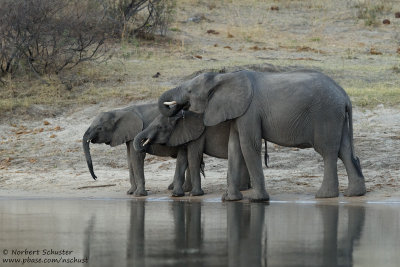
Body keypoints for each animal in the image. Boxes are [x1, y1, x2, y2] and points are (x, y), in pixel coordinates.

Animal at [134, 111, 264, 197]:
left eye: (160, 127)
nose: (143, 146)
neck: (182, 116)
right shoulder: (184, 134)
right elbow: (182, 159)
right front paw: (177, 195)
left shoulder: (198, 135)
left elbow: (193, 157)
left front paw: (195, 194)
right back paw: (244, 188)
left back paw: (242, 189)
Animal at [158, 69, 368, 201]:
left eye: (190, 91)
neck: (223, 77)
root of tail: (345, 96)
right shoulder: (238, 113)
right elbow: (234, 147)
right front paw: (229, 199)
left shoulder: (250, 112)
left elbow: (248, 145)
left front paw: (257, 200)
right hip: (336, 117)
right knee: (345, 151)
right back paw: (354, 194)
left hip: (326, 114)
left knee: (328, 151)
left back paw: (324, 196)